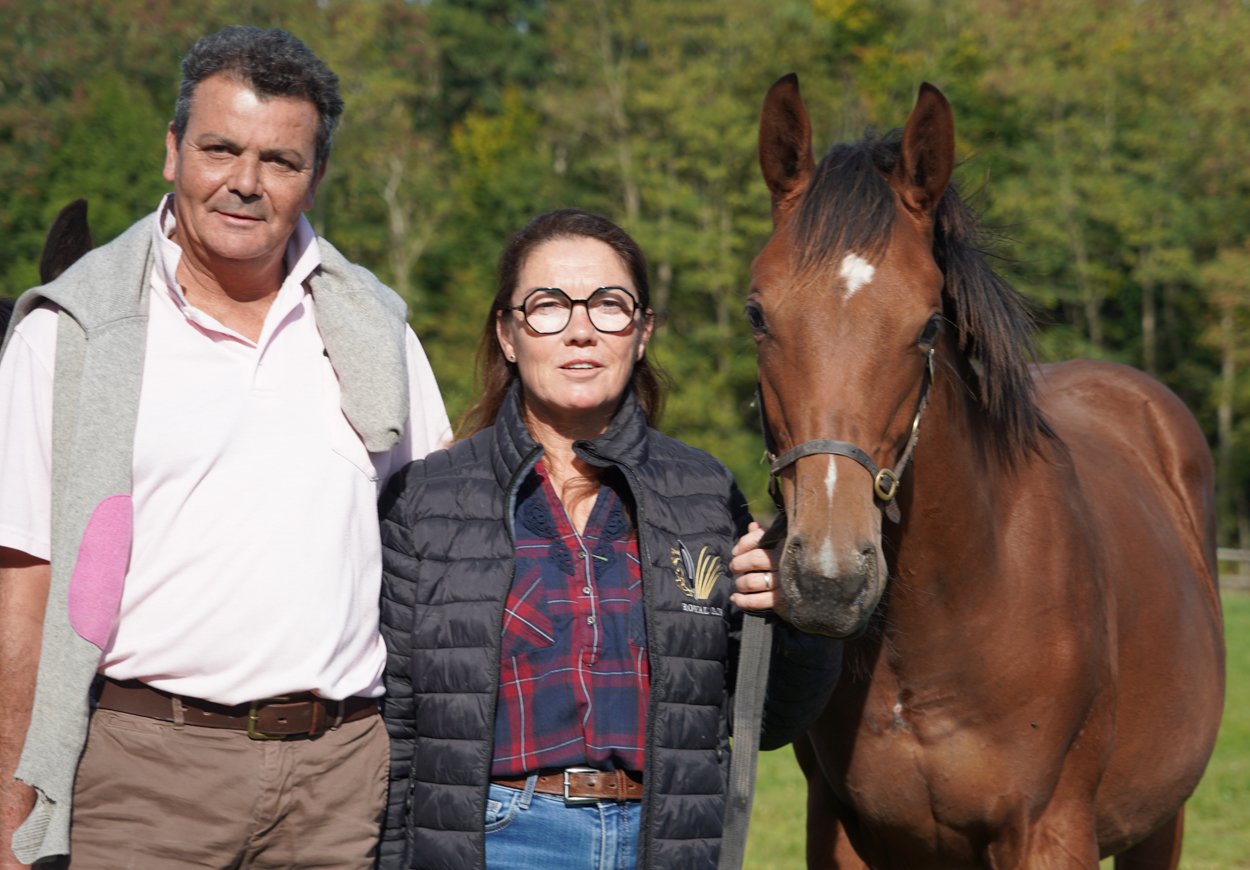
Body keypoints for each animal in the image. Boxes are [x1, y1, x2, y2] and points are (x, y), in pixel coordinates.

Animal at [750, 75, 1225, 868]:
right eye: (758, 314)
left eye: (928, 325)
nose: (828, 581)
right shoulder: (839, 829)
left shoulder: (1050, 831)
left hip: (1161, 821)